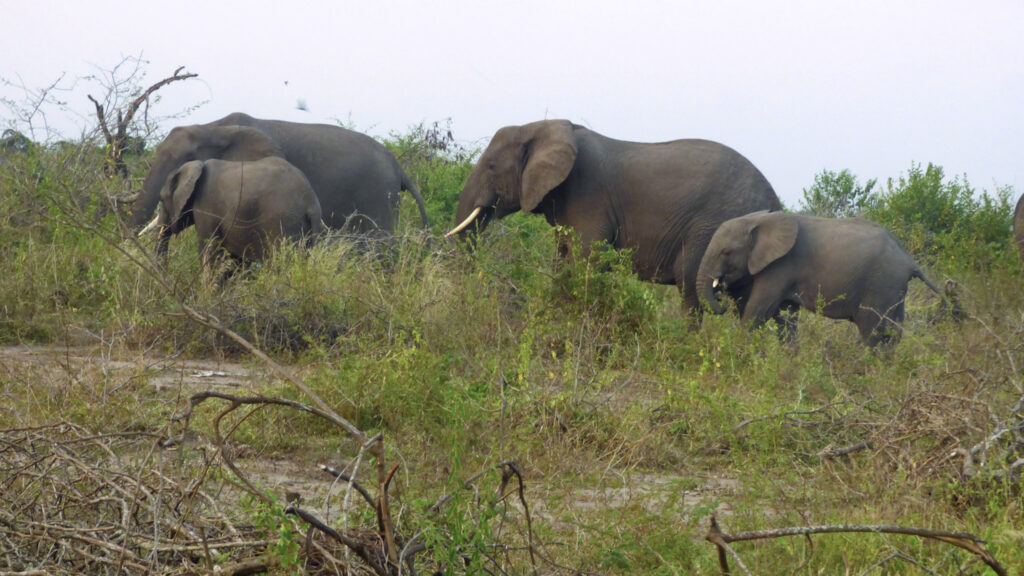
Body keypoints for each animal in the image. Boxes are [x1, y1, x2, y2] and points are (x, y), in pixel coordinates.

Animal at [146, 156, 321, 264]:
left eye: (161, 199)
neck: (197, 165)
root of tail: (311, 202)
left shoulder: (206, 205)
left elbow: (208, 250)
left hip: (283, 222)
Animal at [444, 118, 778, 311]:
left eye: (490, 166)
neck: (541, 126)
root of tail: (775, 202)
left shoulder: (588, 196)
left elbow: (587, 258)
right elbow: (561, 258)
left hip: (714, 226)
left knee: (690, 283)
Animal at [696, 210, 942, 344]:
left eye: (726, 252)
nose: (720, 299)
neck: (757, 220)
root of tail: (910, 261)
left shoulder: (780, 266)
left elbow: (759, 311)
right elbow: (785, 316)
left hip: (881, 283)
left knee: (872, 330)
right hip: (894, 289)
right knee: (894, 330)